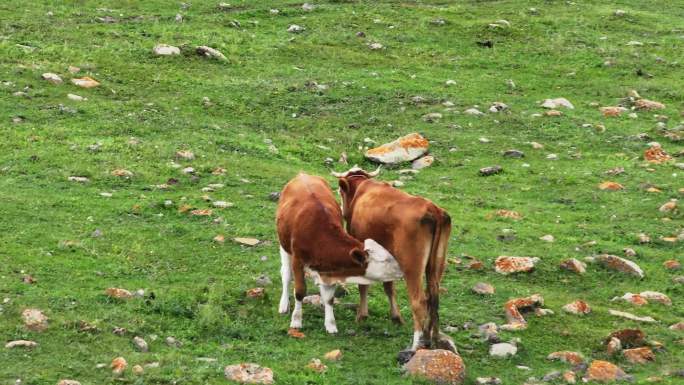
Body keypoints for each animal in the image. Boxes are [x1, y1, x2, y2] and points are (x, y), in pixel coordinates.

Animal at [276, 172, 400, 332]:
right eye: (383, 260)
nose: (401, 269)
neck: (319, 235)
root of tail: (303, 174)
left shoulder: (331, 268)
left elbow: (329, 297)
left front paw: (330, 324)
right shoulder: (298, 260)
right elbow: (299, 291)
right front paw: (296, 321)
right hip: (284, 245)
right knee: (286, 274)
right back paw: (284, 305)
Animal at [332, 165, 454, 352]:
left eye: (340, 192)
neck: (361, 192)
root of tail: (432, 209)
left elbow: (364, 286)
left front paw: (362, 315)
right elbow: (389, 287)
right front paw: (396, 317)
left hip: (412, 266)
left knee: (419, 301)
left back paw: (416, 345)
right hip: (437, 264)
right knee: (433, 297)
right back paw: (432, 339)